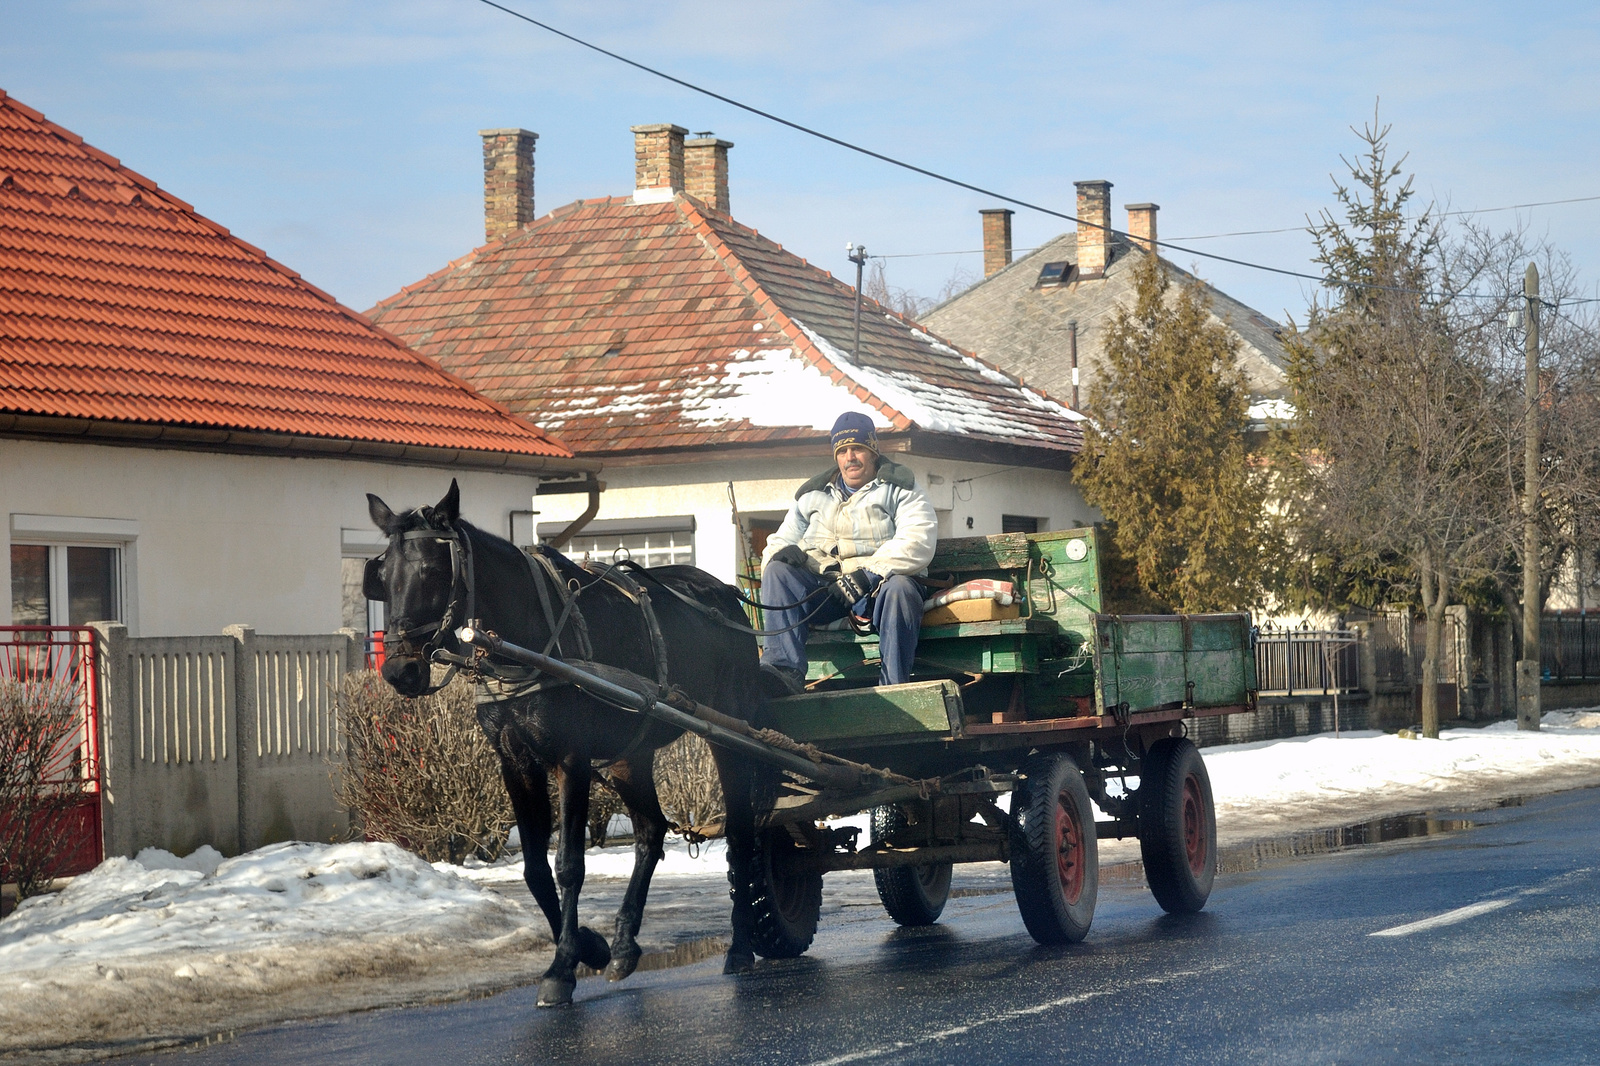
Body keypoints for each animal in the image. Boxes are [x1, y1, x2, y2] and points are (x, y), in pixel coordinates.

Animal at [366, 480, 771, 1005]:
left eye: (433, 571)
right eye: (382, 575)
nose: (400, 670)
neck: (524, 645)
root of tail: (725, 594)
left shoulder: (571, 760)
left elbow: (569, 866)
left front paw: (562, 967)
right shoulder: (515, 762)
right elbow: (535, 869)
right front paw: (590, 947)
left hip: (730, 737)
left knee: (738, 832)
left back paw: (740, 945)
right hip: (629, 754)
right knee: (650, 831)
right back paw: (624, 945)